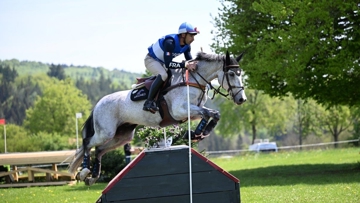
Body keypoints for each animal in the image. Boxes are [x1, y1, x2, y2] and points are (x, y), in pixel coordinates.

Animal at [68, 50, 248, 185]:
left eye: (241, 74)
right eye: (231, 74)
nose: (242, 99)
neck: (194, 80)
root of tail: (98, 104)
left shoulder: (193, 111)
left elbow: (212, 114)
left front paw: (197, 134)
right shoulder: (179, 110)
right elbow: (208, 113)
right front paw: (196, 134)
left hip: (122, 136)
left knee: (99, 150)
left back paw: (93, 176)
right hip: (106, 132)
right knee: (87, 143)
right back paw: (84, 172)